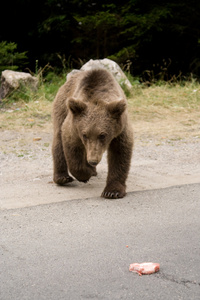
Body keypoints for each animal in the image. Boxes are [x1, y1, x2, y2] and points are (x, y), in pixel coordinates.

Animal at [51, 69, 134, 198]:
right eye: (84, 135)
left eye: (103, 135)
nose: (93, 160)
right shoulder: (74, 126)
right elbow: (71, 147)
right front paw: (85, 174)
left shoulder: (120, 129)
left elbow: (120, 153)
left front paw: (112, 191)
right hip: (62, 107)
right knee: (58, 141)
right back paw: (63, 177)